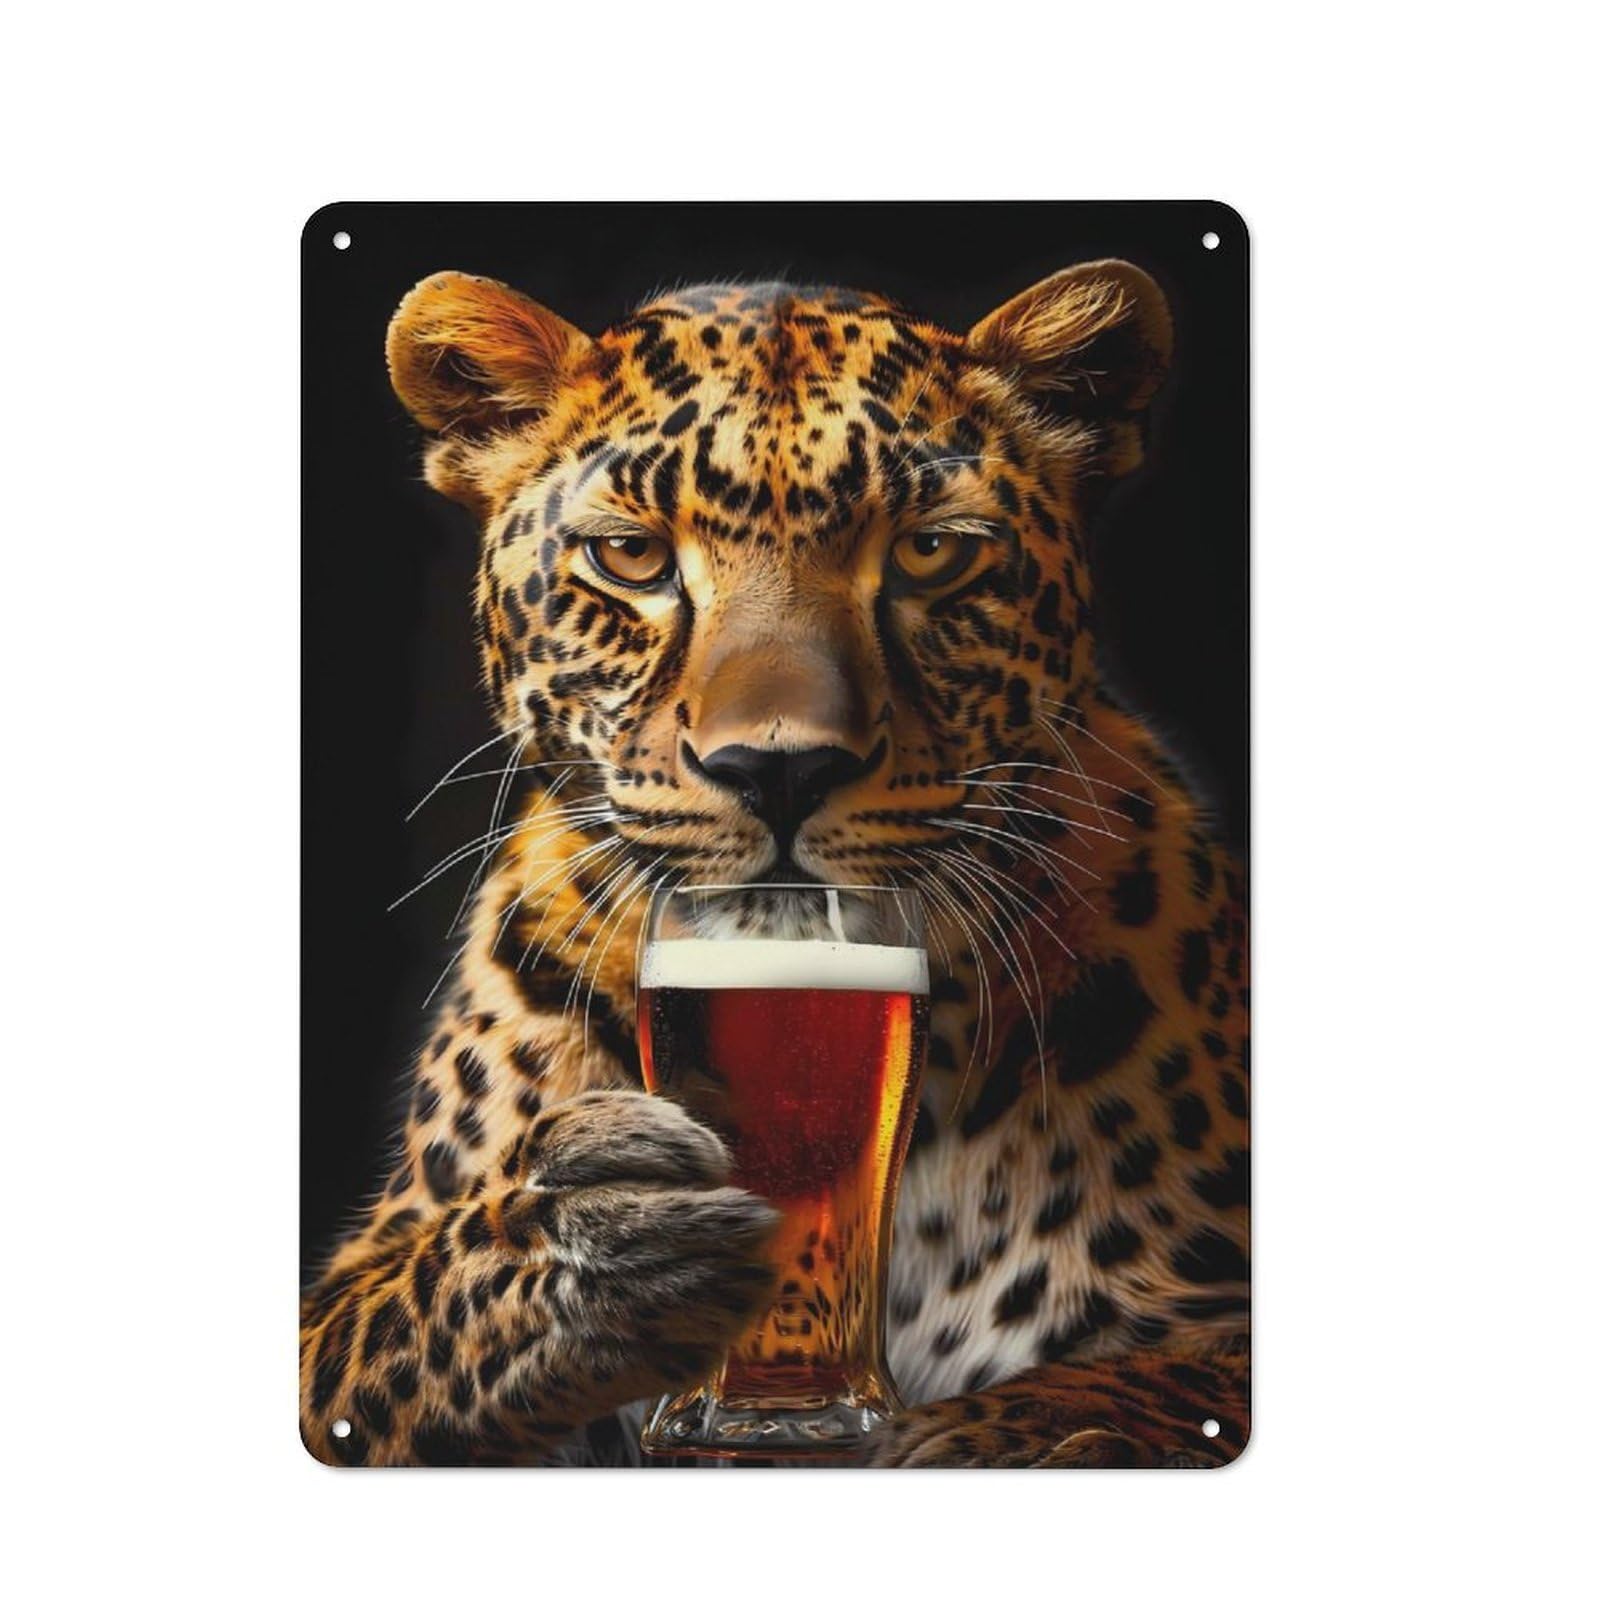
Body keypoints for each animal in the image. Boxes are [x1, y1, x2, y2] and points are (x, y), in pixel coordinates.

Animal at [299, 257, 1249, 1467]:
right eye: (632, 556)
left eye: (932, 551)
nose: (780, 768)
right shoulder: (356, 1288)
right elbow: (402, 1318)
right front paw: (600, 1246)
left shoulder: (1214, 1314)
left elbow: (1144, 1380)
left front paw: (991, 1435)